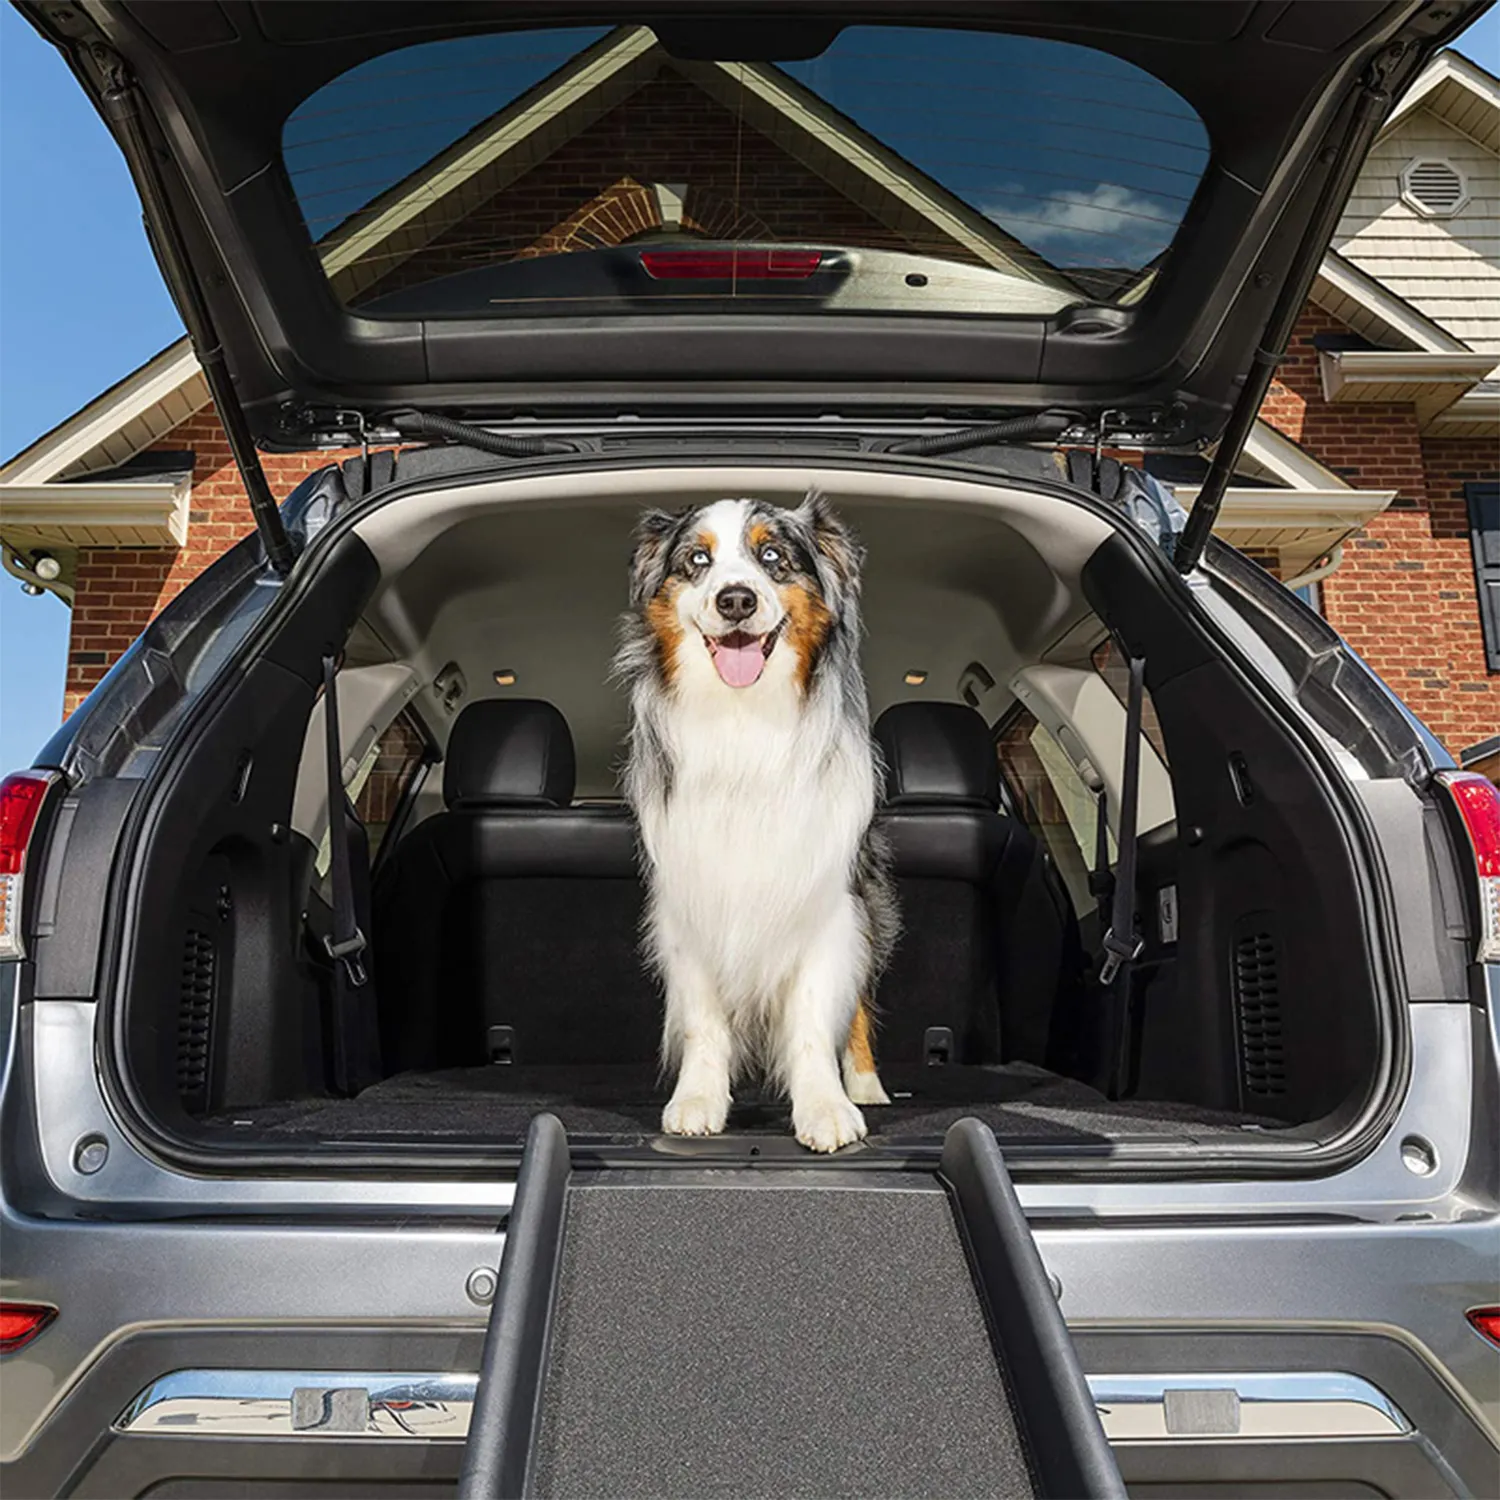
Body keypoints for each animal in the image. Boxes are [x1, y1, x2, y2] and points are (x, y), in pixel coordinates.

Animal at [615, 492, 894, 1146]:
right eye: (697, 560)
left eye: (773, 557)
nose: (736, 599)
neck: (743, 721)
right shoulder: (690, 899)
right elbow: (702, 1019)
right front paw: (697, 1099)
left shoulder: (827, 899)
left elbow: (816, 1015)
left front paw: (825, 1106)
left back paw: (866, 1084)